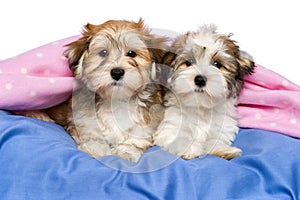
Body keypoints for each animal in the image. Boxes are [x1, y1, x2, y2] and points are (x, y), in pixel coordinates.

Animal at [36, 19, 166, 162]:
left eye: (131, 53)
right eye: (103, 53)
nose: (117, 72)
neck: (116, 99)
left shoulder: (150, 117)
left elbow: (138, 136)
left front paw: (126, 152)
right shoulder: (82, 118)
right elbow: (91, 133)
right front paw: (97, 150)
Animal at [154, 24, 254, 159]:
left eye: (217, 64)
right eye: (188, 62)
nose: (200, 80)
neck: (201, 108)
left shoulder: (221, 127)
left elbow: (215, 140)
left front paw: (223, 150)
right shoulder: (169, 127)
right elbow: (180, 138)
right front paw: (189, 149)